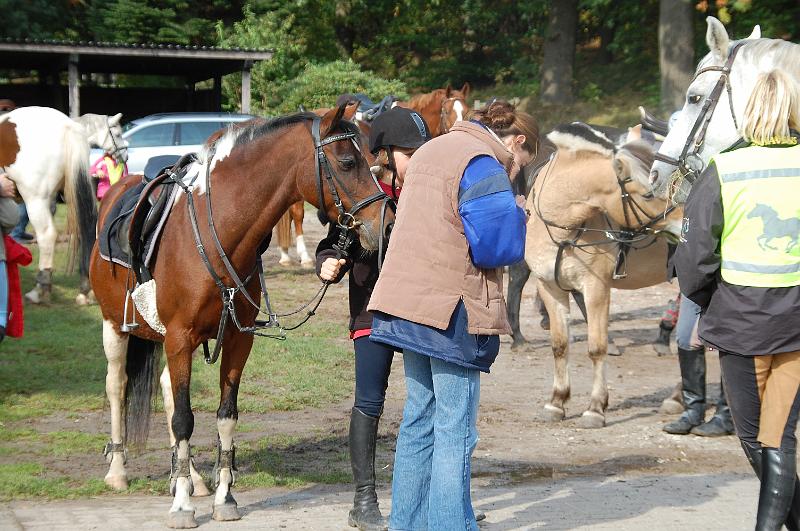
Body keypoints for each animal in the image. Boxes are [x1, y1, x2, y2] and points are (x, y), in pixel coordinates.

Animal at [0, 107, 126, 308]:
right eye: (119, 134)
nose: (125, 155)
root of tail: (67, 125)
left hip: (35, 199)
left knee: (47, 236)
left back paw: (40, 290)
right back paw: (84, 289)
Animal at [90, 103, 390, 528]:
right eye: (348, 162)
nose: (384, 223)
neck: (219, 233)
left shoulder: (236, 339)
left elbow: (224, 416)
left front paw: (222, 498)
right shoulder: (179, 337)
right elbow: (184, 419)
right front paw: (182, 507)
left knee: (165, 389)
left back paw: (189, 477)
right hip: (115, 325)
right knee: (117, 385)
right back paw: (118, 470)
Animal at [524, 136, 680, 428]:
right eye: (648, 194)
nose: (685, 220)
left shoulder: (596, 288)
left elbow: (597, 347)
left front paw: (595, 408)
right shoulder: (549, 287)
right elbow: (559, 345)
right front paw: (557, 401)